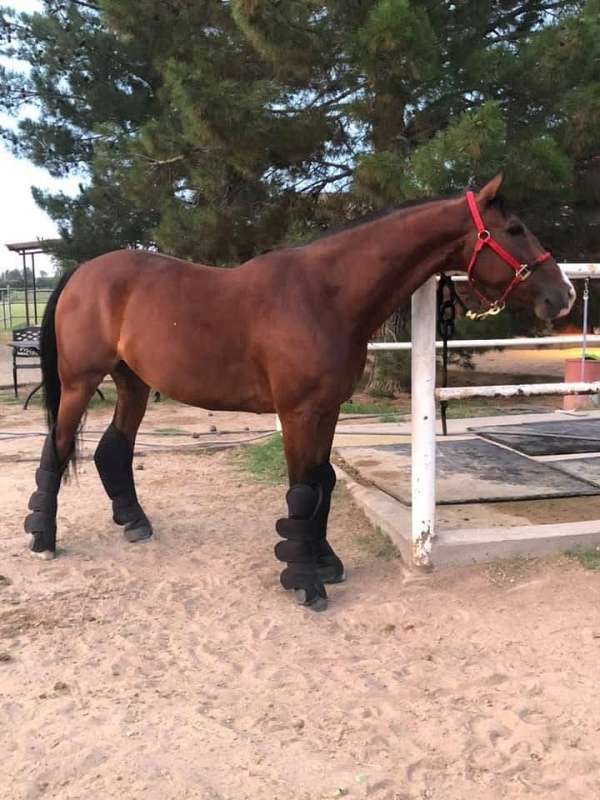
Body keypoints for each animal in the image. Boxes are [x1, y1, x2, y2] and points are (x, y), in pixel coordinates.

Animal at [24, 174, 575, 611]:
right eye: (514, 229)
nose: (564, 294)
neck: (325, 294)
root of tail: (82, 271)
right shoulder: (298, 414)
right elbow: (302, 492)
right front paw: (307, 582)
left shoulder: (327, 410)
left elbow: (323, 484)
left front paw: (324, 562)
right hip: (80, 383)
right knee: (57, 448)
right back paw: (44, 539)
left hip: (133, 383)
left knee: (113, 448)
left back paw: (134, 522)